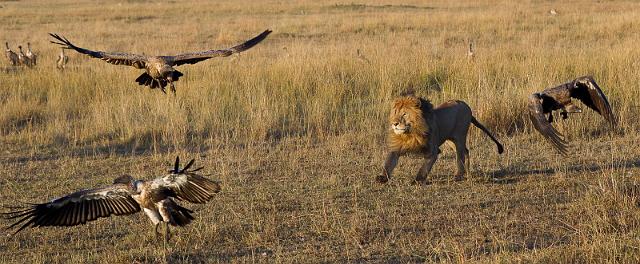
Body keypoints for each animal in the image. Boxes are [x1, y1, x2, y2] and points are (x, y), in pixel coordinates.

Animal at [376, 92, 504, 184]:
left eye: (404, 114)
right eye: (395, 113)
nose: (394, 123)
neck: (410, 133)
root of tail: (466, 105)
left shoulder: (433, 151)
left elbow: (424, 168)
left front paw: (417, 181)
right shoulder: (396, 148)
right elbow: (388, 163)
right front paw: (382, 177)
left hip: (459, 137)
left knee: (460, 156)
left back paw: (458, 175)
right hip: (450, 140)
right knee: (466, 151)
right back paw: (467, 173)